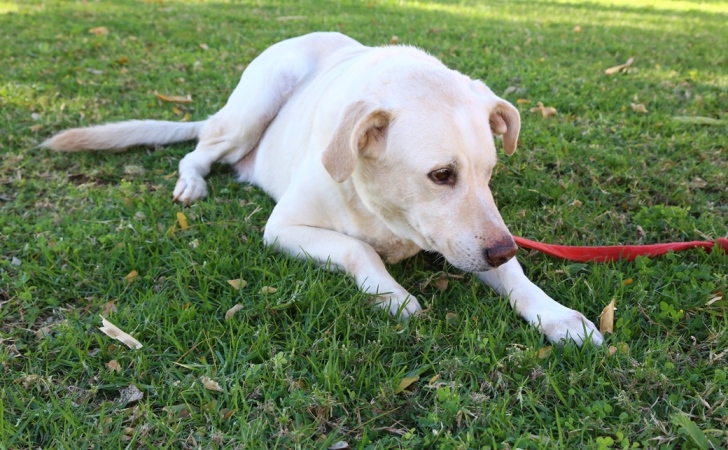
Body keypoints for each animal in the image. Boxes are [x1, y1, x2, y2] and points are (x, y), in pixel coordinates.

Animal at [42, 31, 604, 346]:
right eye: (441, 175)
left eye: (489, 173)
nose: (503, 247)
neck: (384, 211)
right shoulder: (284, 229)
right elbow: (358, 250)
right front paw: (393, 296)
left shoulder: (474, 237)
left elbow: (517, 279)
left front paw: (557, 316)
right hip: (255, 104)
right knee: (198, 150)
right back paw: (192, 184)